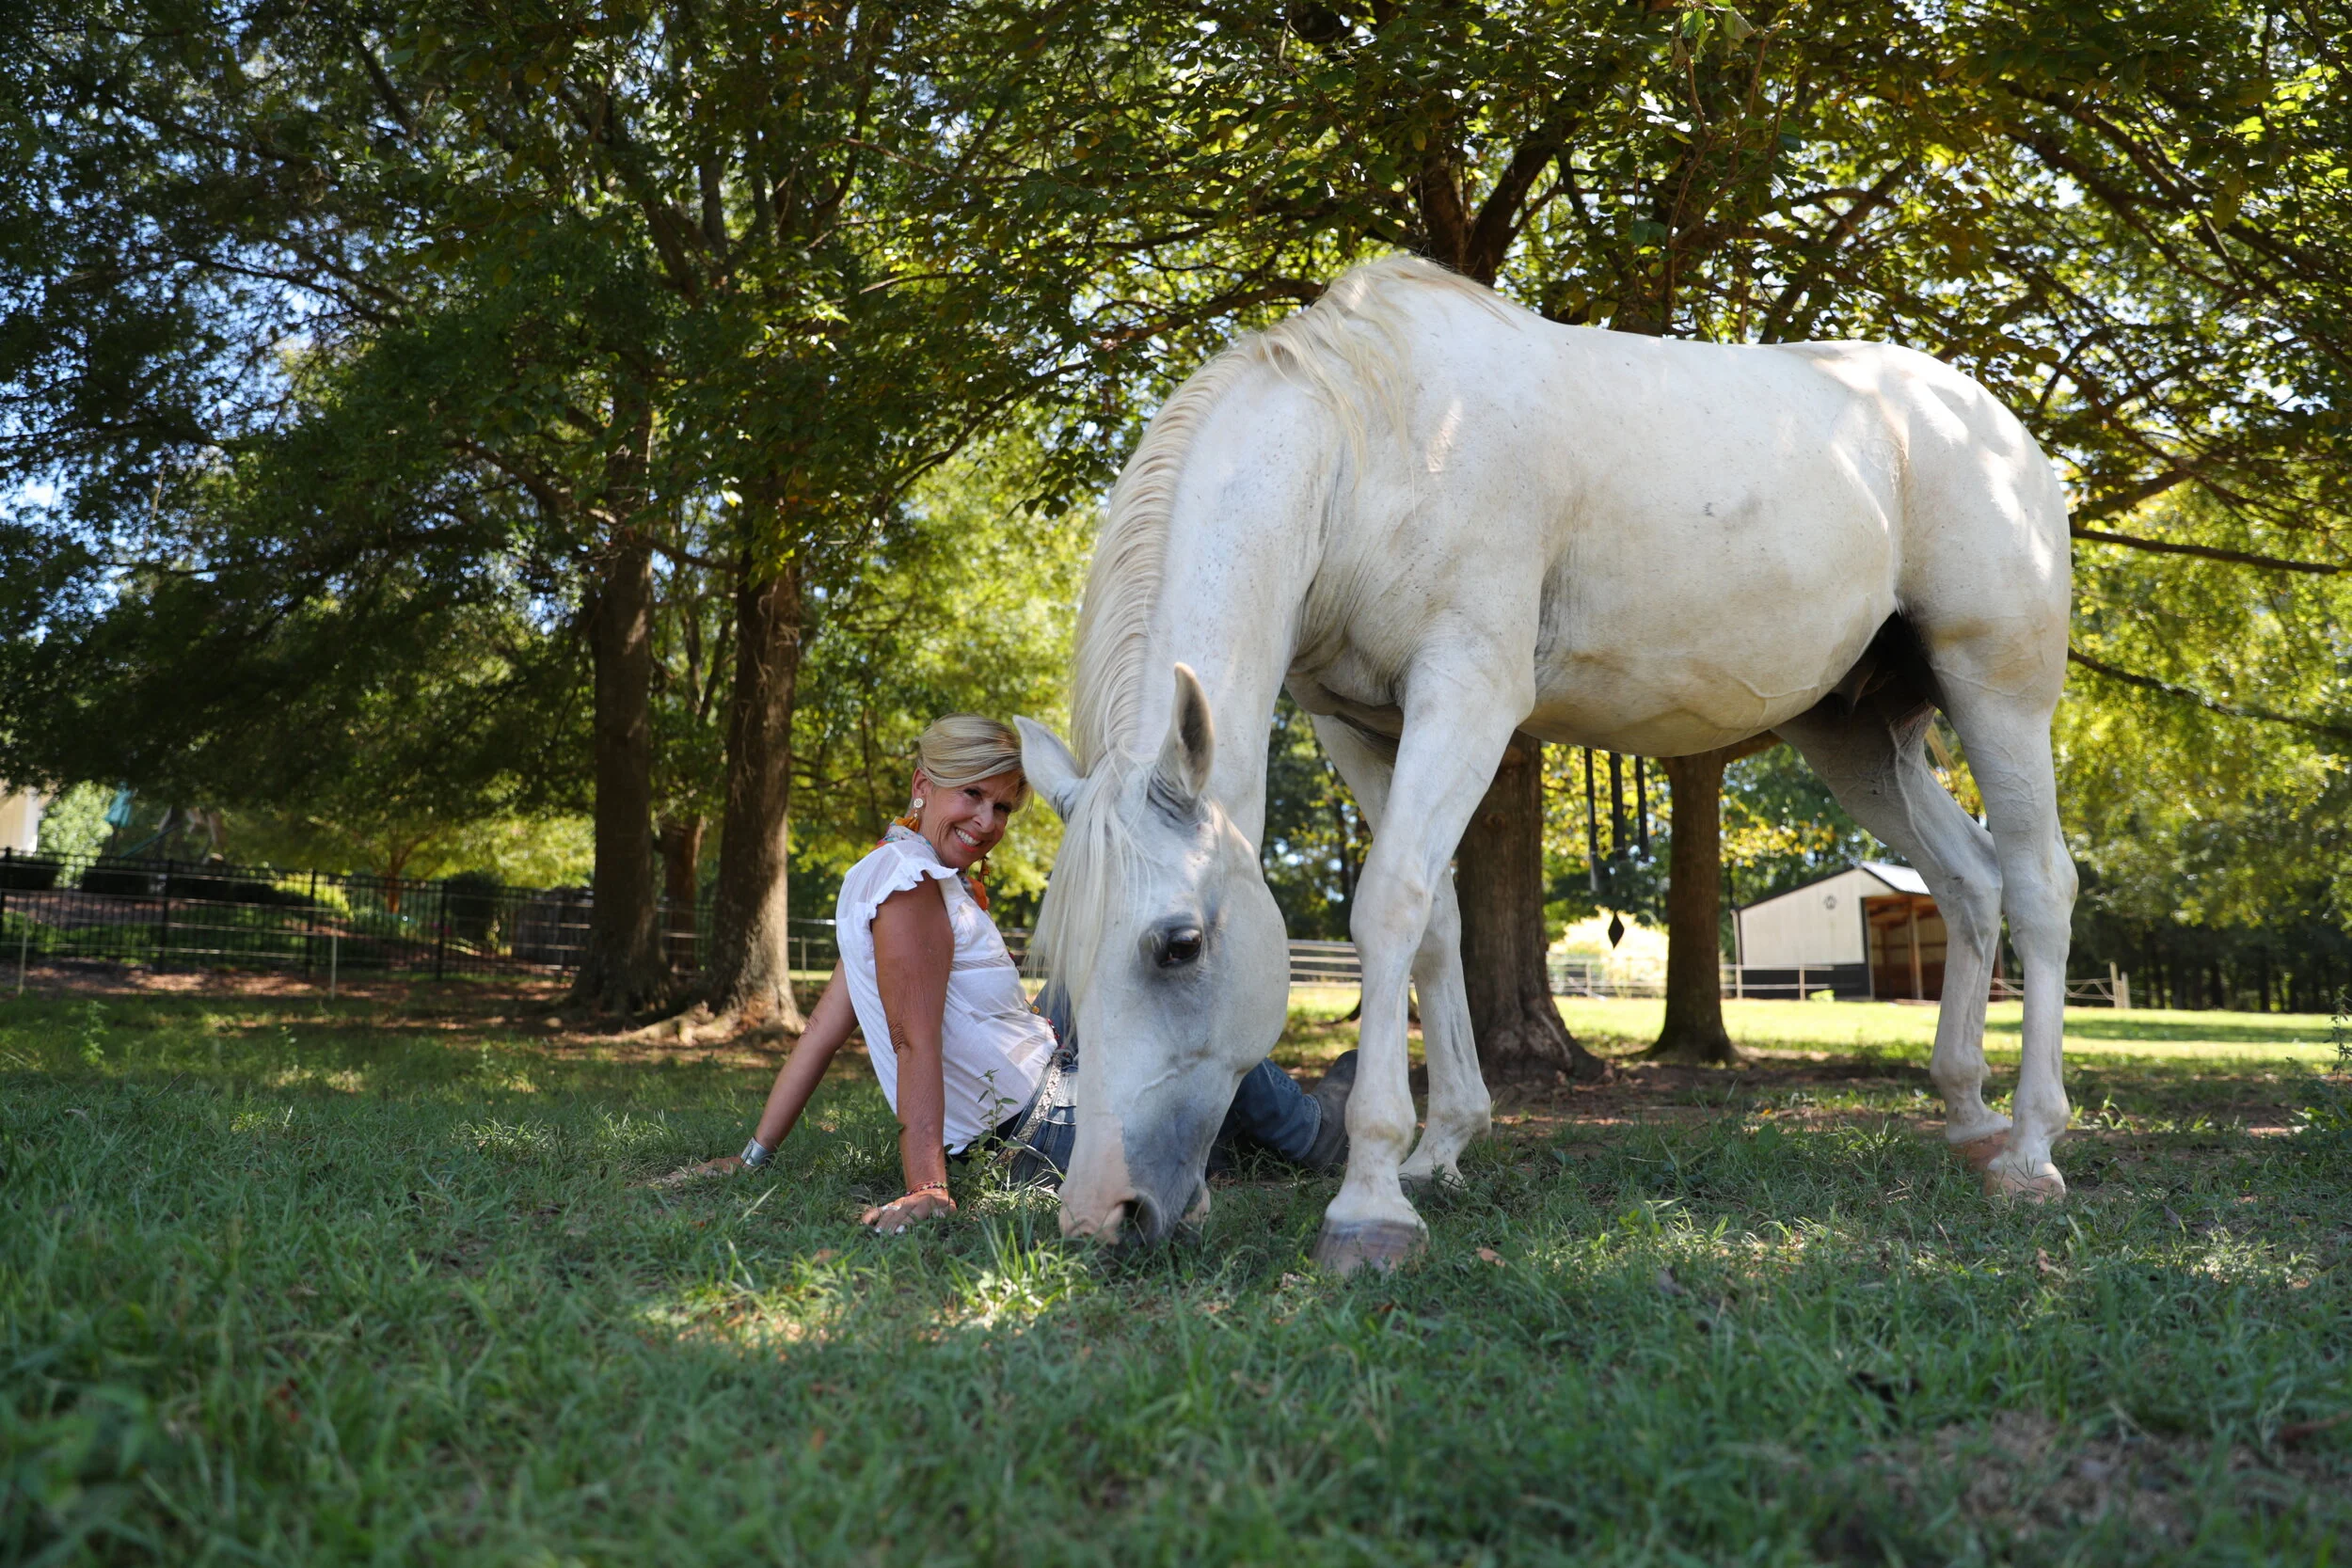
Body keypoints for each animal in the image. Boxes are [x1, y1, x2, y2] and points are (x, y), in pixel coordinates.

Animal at [1016, 255, 2075, 1275]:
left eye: (1179, 945)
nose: (1102, 1212)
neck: (1368, 443)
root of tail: (1997, 432)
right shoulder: (1357, 727)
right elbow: (1436, 920)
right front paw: (1439, 1149)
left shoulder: (1468, 694)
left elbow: (1389, 902)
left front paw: (1370, 1206)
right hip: (1855, 739)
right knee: (1968, 881)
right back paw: (1968, 1117)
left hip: (1998, 697)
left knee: (2037, 885)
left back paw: (2031, 1151)